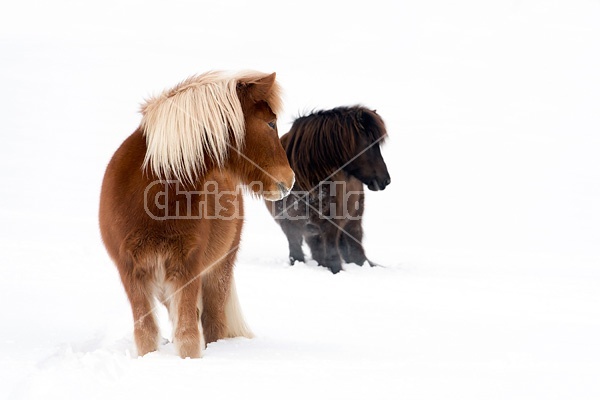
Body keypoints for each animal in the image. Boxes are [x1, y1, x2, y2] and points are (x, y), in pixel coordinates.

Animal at [99, 70, 296, 358]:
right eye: (271, 124)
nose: (289, 180)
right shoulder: (131, 271)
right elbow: (146, 335)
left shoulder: (188, 267)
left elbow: (188, 336)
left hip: (218, 269)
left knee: (213, 322)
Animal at [266, 104, 390, 274]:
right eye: (369, 144)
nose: (386, 180)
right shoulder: (290, 227)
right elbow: (297, 256)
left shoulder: (330, 226)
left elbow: (333, 258)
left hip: (352, 222)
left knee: (356, 252)